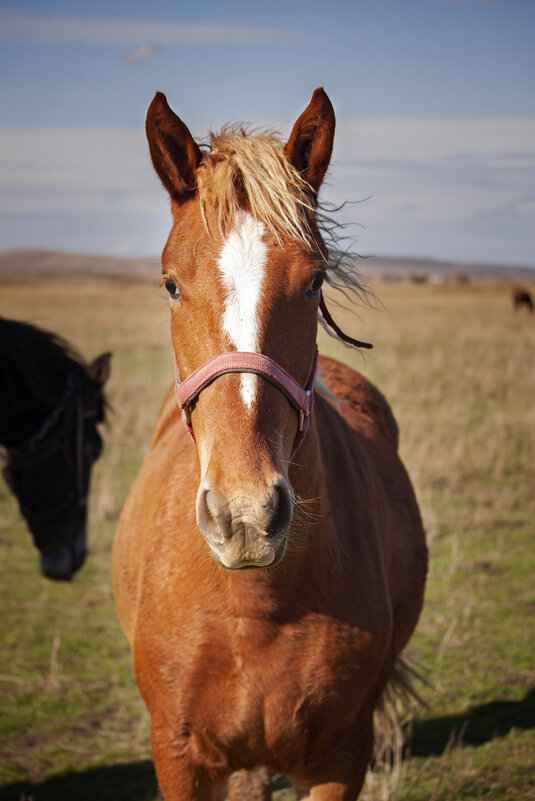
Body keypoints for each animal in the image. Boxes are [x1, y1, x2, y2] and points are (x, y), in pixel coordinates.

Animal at [113, 89, 428, 800]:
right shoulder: (178, 758)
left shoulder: (342, 757)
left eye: (314, 282)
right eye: (171, 283)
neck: (256, 608)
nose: (246, 516)